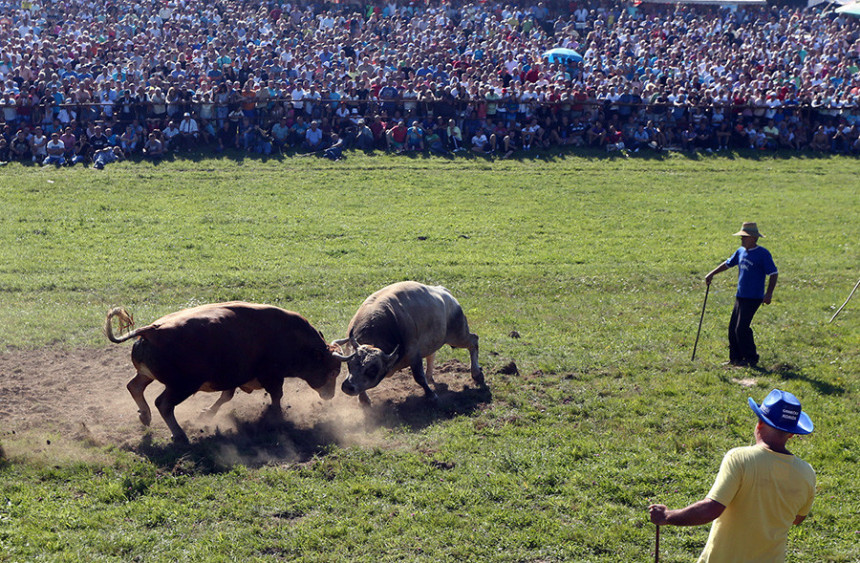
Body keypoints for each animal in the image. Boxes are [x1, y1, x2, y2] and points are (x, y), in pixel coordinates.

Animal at [103, 302, 340, 442]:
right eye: (332, 371)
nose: (330, 395)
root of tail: (152, 331)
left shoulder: (234, 377)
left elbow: (226, 396)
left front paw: (207, 413)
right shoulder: (271, 376)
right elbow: (276, 395)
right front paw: (277, 417)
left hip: (148, 375)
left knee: (134, 386)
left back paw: (145, 415)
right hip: (182, 385)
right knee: (163, 404)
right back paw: (178, 434)